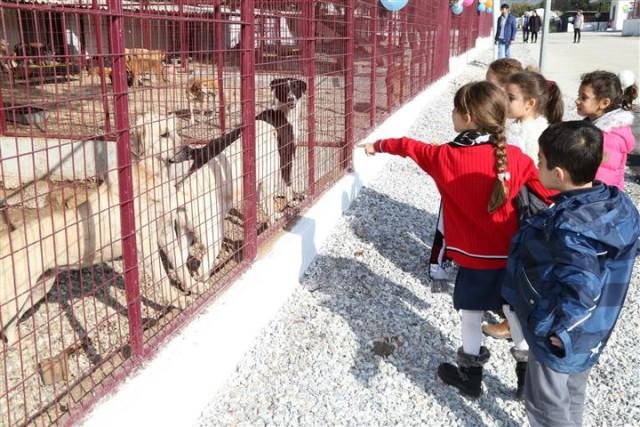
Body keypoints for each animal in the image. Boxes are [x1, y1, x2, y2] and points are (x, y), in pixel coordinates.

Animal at [0, 113, 191, 348]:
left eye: (177, 131)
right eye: (164, 134)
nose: (188, 150)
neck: (150, 176)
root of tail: (8, 240)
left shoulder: (165, 233)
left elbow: (180, 263)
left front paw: (194, 285)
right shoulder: (145, 245)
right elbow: (163, 278)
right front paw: (177, 299)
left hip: (39, 288)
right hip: (17, 296)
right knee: (6, 327)